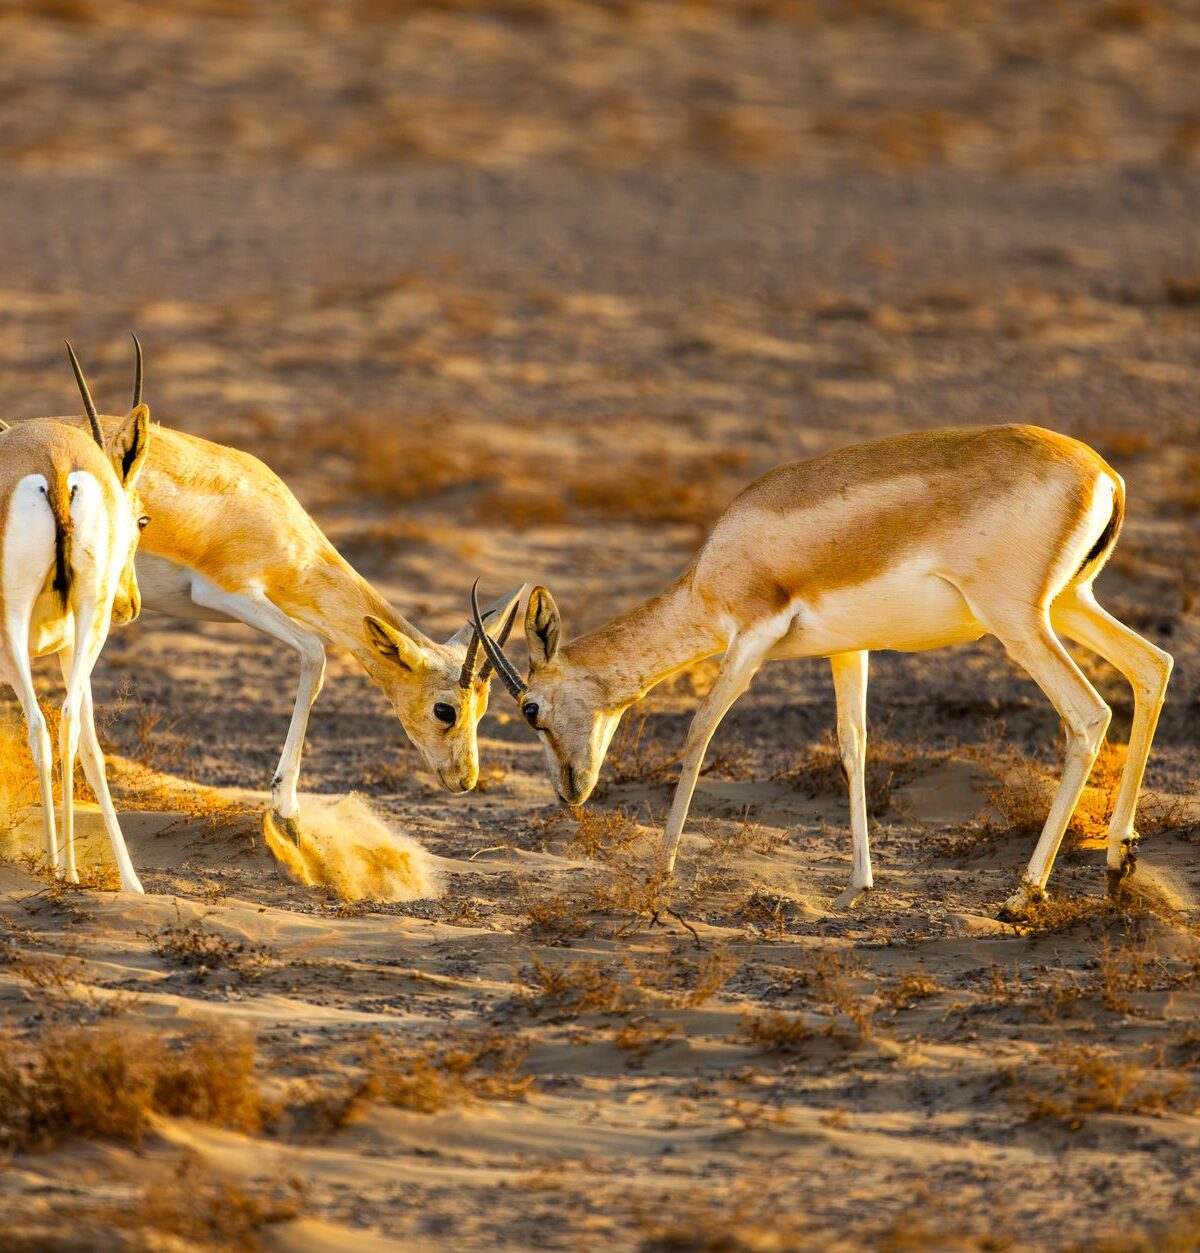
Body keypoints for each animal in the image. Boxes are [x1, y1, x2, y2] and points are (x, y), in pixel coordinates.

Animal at [1, 343, 150, 893]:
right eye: (140, 519)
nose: (131, 604)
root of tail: (56, 462)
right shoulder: (68, 649)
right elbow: (92, 751)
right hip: (91, 625)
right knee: (66, 728)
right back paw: (78, 872)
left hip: (18, 632)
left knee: (42, 730)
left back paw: (57, 867)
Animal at [25, 344, 522, 843]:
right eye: (445, 710)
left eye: (483, 709)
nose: (465, 780)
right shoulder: (228, 594)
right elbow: (316, 655)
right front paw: (285, 811)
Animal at [471, 426, 1173, 920]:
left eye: (529, 708)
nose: (570, 792)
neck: (718, 562)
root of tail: (1102, 473)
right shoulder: (848, 650)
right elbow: (852, 746)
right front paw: (857, 887)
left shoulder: (750, 640)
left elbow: (699, 733)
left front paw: (660, 874)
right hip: (1070, 603)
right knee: (1153, 665)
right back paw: (1117, 863)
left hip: (1018, 621)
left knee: (1089, 713)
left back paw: (1022, 897)